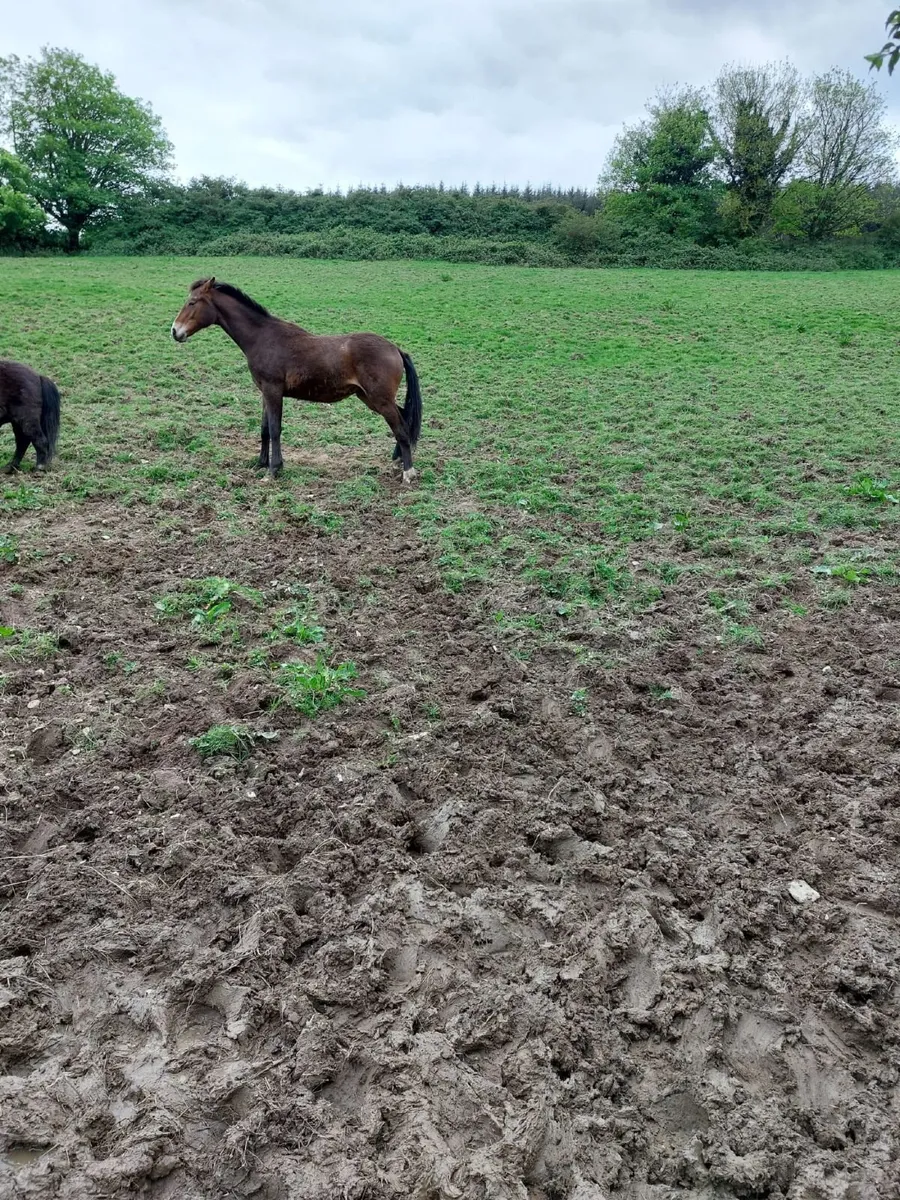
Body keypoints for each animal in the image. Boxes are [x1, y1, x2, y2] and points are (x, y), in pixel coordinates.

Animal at [171, 278, 423, 483]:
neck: (263, 337)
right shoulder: (264, 392)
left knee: (401, 428)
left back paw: (408, 472)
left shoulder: (273, 390)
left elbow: (275, 428)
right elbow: (264, 428)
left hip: (379, 399)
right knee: (403, 418)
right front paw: (260, 463)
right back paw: (398, 460)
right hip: (369, 397)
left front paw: (273, 470)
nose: (175, 331)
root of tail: (395, 349)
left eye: (192, 302)